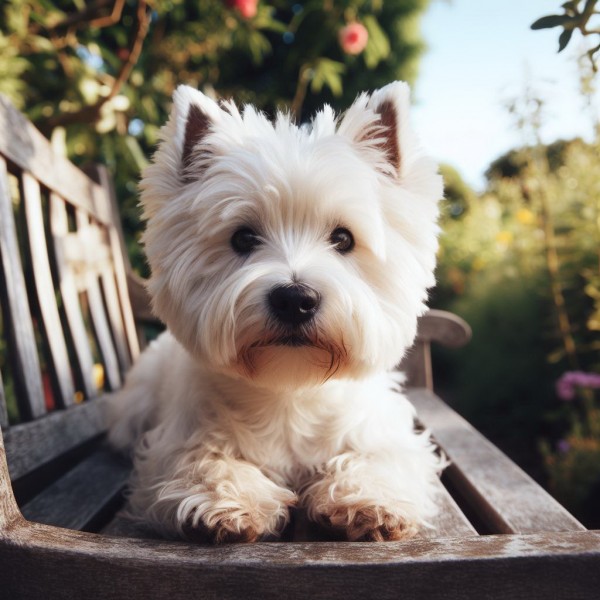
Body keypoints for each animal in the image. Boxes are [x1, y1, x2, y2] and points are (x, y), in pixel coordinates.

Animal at [109, 82, 446, 548]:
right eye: (243, 238)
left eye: (343, 238)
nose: (295, 299)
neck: (291, 391)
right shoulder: (178, 440)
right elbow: (203, 460)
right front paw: (227, 505)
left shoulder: (384, 434)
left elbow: (379, 458)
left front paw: (368, 502)